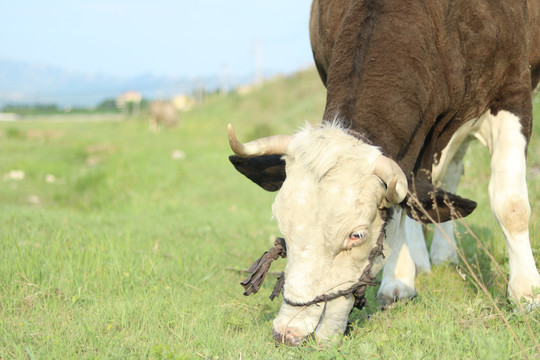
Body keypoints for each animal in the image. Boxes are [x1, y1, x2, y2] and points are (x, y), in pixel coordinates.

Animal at [227, 0, 540, 346]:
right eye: (283, 224)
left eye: (357, 235)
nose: (289, 332)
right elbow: (404, 204)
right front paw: (399, 280)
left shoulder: (512, 95)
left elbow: (510, 205)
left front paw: (526, 292)